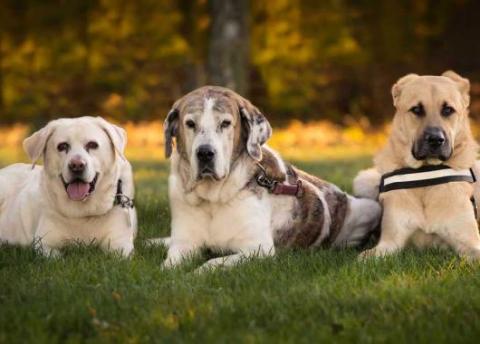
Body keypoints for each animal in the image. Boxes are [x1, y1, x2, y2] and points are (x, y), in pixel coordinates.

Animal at [0, 115, 137, 255]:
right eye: (62, 146)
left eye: (92, 145)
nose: (77, 165)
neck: (83, 213)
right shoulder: (44, 244)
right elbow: (56, 256)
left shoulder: (120, 245)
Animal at [352, 71, 480, 260]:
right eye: (416, 110)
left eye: (448, 110)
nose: (435, 140)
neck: (426, 174)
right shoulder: (389, 243)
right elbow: (364, 257)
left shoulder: (469, 242)